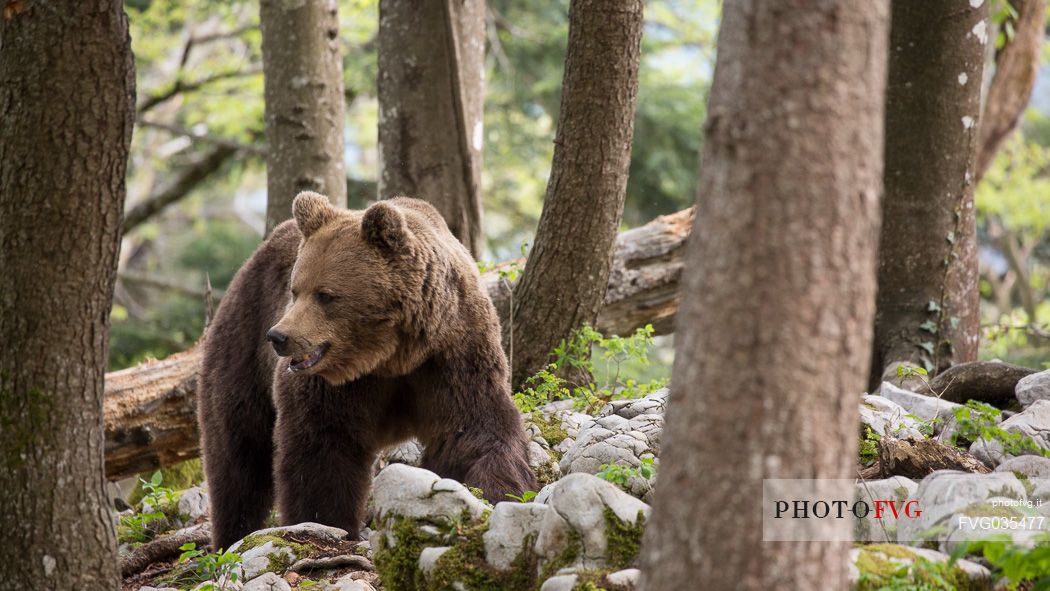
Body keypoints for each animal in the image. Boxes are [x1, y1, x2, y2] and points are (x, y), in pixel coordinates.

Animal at [197, 193, 537, 550]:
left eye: (325, 295)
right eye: (295, 290)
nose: (279, 336)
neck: (393, 355)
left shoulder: (453, 353)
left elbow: (475, 429)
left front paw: (498, 492)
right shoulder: (336, 387)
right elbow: (322, 449)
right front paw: (325, 521)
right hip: (242, 341)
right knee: (237, 452)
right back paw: (232, 534)